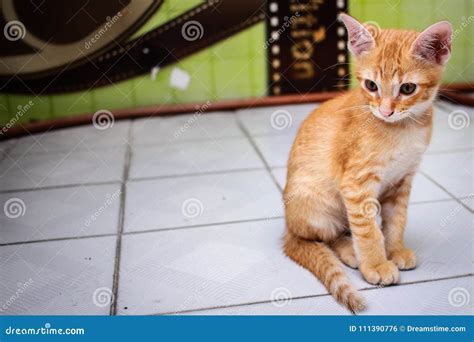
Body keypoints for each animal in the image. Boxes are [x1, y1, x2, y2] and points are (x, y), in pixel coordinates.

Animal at [284, 14, 454, 312]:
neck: (403, 130)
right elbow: (368, 230)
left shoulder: (402, 180)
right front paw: (376, 263)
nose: (386, 111)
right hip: (315, 202)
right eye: (371, 86)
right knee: (326, 236)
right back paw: (351, 252)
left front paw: (394, 250)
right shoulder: (356, 184)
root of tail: (288, 226)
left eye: (407, 88)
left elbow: (396, 220)